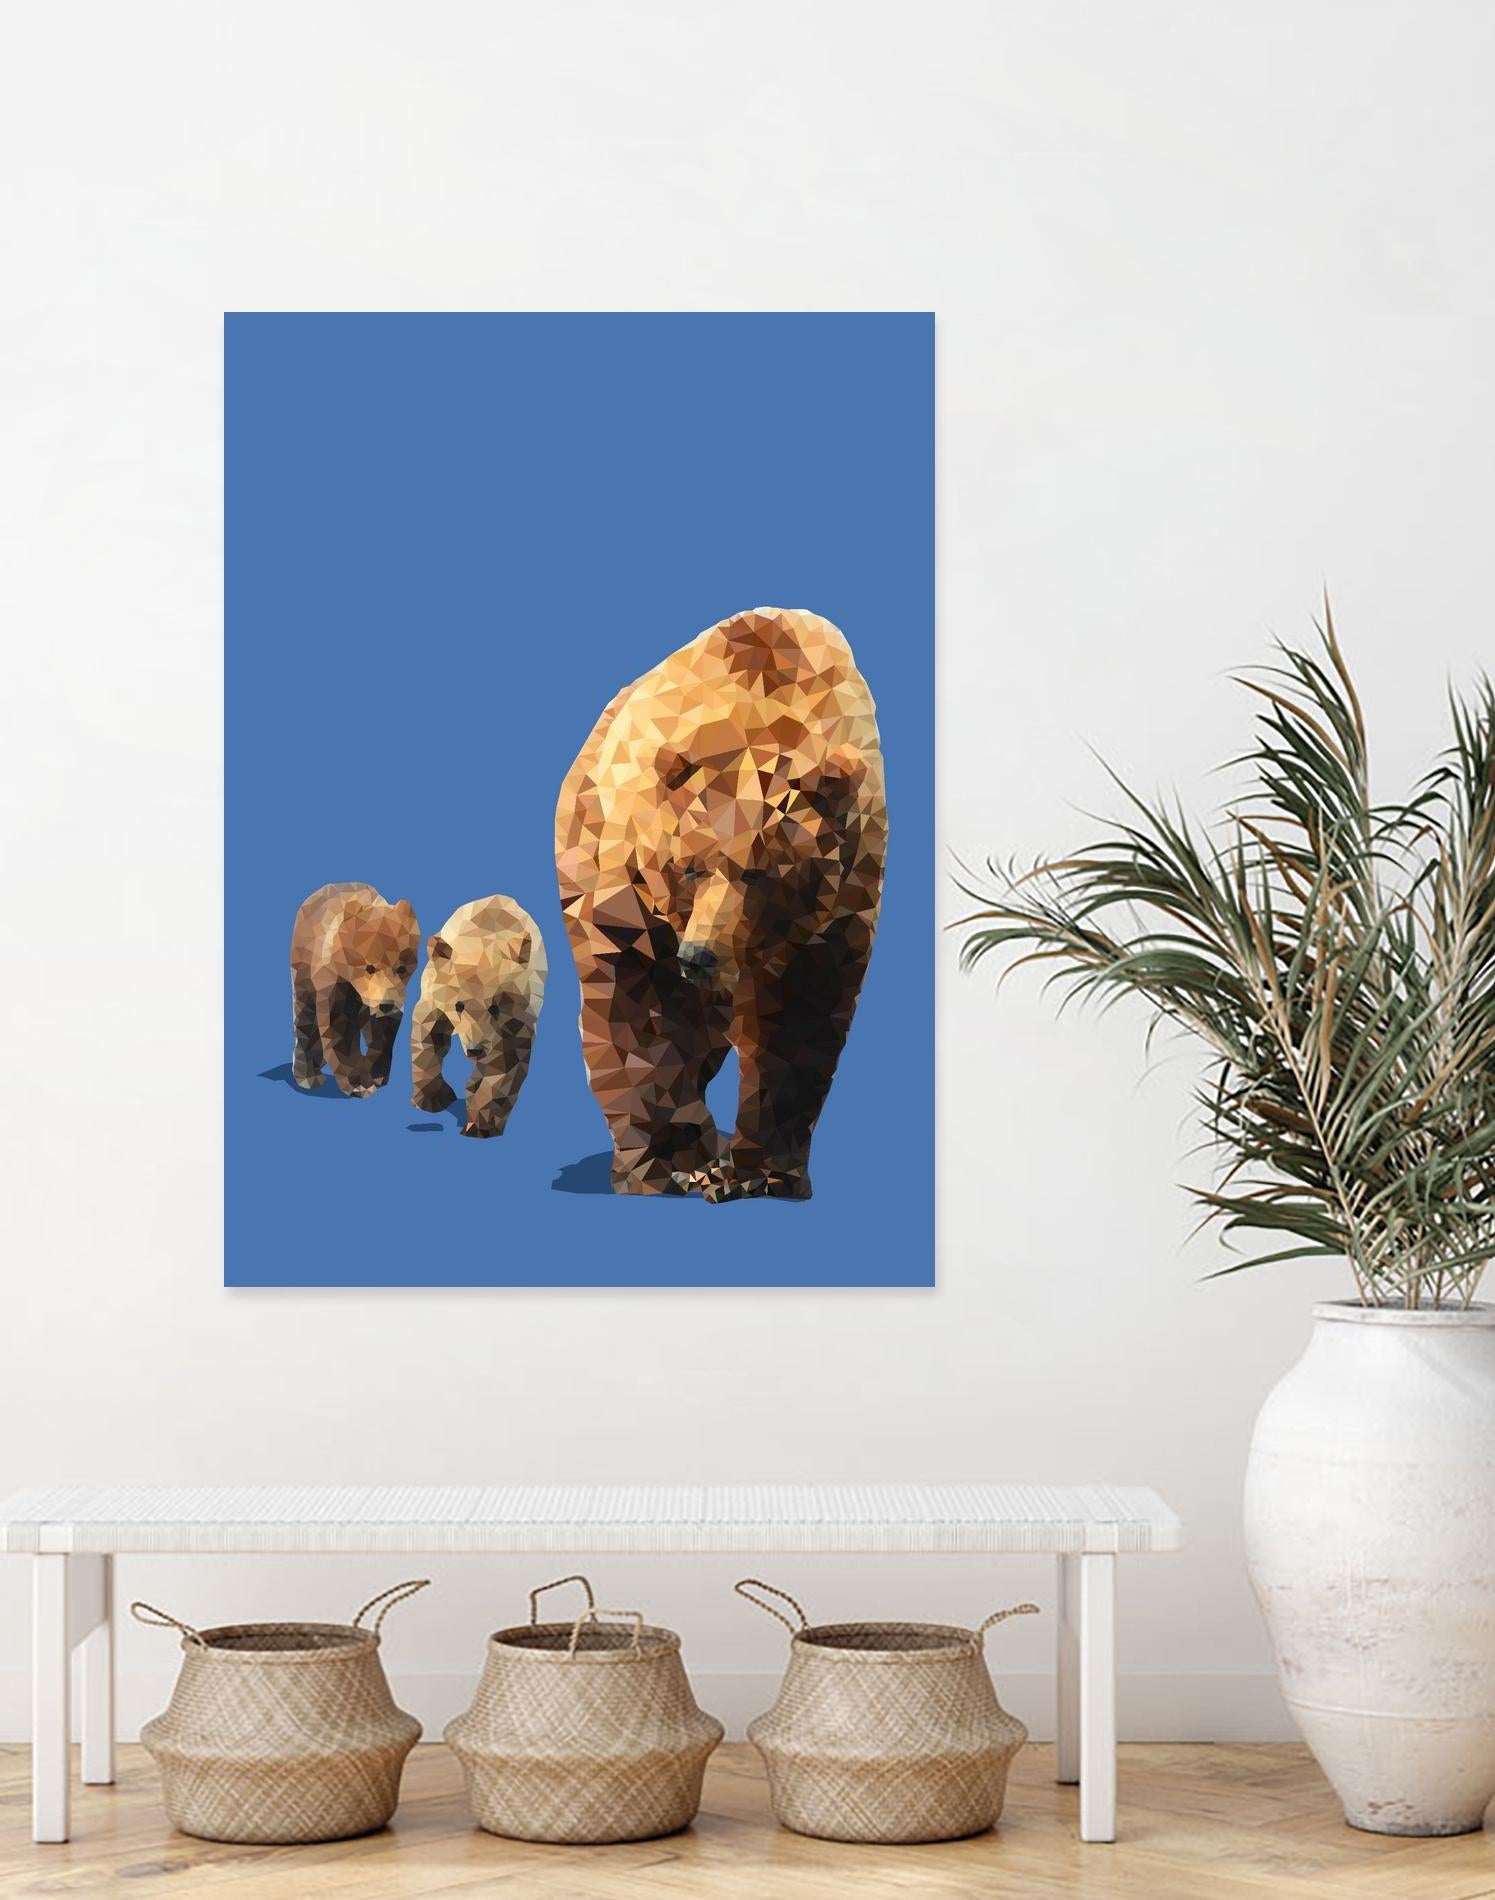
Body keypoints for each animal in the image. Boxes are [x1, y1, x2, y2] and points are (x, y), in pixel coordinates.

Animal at [290, 883, 420, 1096]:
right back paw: (309, 1076)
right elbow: (338, 1027)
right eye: (369, 967)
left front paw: (376, 1074)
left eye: (402, 968)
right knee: (305, 1015)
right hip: (303, 966)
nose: (386, 1004)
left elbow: (382, 1030)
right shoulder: (336, 981)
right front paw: (358, 1082)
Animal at [410, 896, 547, 1138]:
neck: (481, 944)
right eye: (459, 1005)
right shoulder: (435, 993)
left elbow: (506, 1061)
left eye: (495, 1007)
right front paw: (433, 1098)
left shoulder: (516, 1015)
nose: (476, 1050)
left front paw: (478, 1124)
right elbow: (429, 1033)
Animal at [556, 606, 886, 1200]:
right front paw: (672, 1162)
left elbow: (798, 1025)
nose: (698, 956)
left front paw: (766, 1171)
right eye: (690, 866)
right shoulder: (634, 890)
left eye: (761, 871)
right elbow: (641, 1010)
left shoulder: (838, 907)